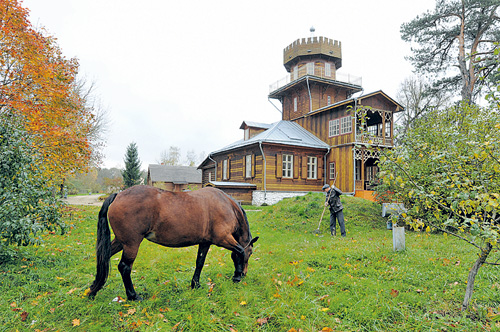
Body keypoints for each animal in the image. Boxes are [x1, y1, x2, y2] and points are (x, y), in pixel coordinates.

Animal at [87, 185, 258, 302]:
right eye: (250, 253)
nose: (245, 273)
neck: (227, 205)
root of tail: (119, 195)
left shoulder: (205, 243)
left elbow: (200, 263)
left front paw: (195, 284)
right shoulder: (223, 239)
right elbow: (239, 250)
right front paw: (236, 276)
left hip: (121, 242)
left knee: (103, 258)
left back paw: (93, 289)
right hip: (131, 244)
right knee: (124, 267)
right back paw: (133, 296)